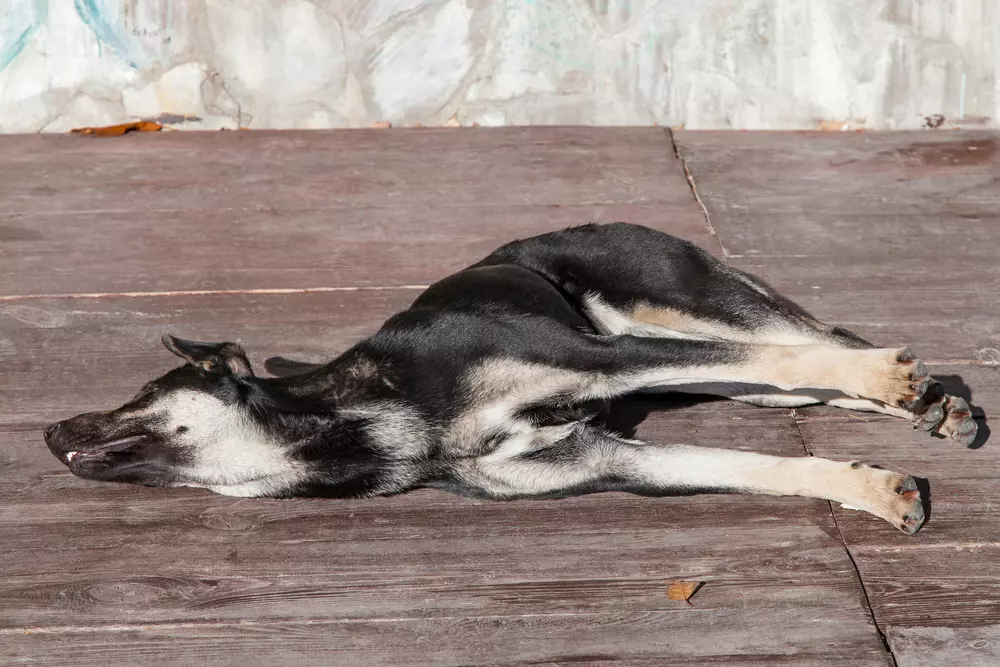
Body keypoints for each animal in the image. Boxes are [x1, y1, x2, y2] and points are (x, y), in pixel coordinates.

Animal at [45, 222, 976, 536]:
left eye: (138, 394)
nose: (47, 431)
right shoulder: (607, 459)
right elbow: (764, 469)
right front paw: (872, 489)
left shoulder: (598, 360)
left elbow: (783, 364)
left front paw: (895, 391)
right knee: (802, 380)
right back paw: (932, 406)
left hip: (671, 308)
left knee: (805, 343)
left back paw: (910, 384)